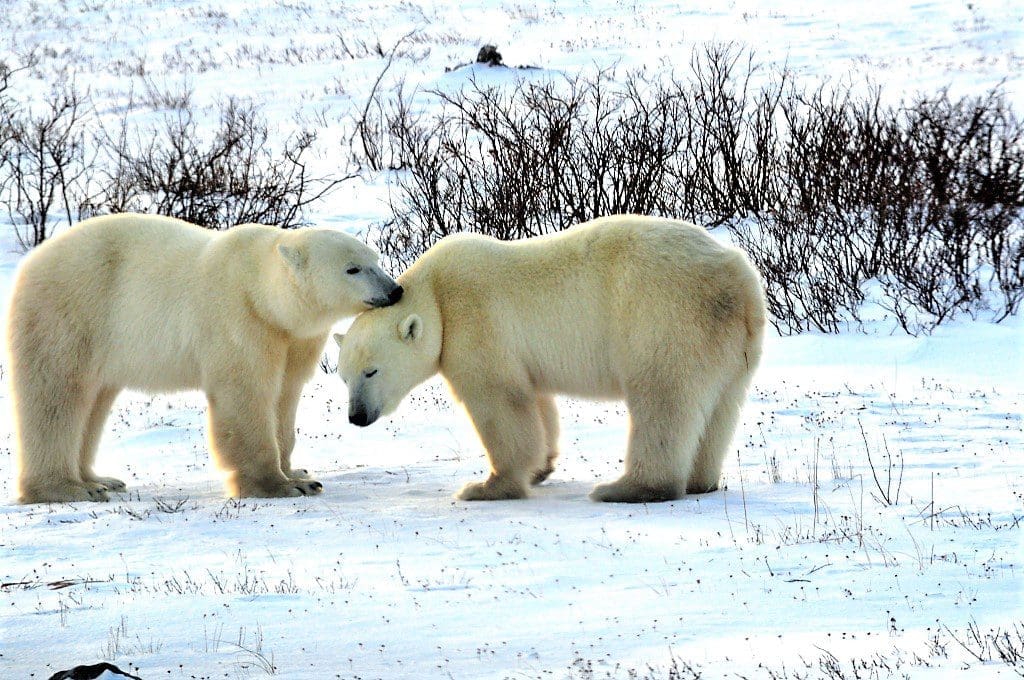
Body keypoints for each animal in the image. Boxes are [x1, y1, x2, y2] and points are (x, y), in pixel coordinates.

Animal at [8, 214, 401, 503]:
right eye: (352, 268)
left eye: (375, 260)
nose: (394, 290)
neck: (261, 291)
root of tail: (30, 261)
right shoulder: (239, 321)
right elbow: (245, 397)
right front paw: (280, 485)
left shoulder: (293, 338)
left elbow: (284, 395)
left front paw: (299, 473)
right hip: (70, 313)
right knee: (56, 397)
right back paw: (68, 488)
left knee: (94, 401)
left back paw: (99, 479)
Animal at [331, 215, 765, 501]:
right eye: (344, 377)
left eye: (371, 371)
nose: (357, 416)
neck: (436, 293)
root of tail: (739, 280)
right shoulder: (518, 353)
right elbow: (536, 402)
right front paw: (540, 467)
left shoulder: (475, 322)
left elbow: (499, 403)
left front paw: (485, 486)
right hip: (732, 344)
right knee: (720, 407)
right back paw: (700, 481)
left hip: (665, 316)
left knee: (662, 397)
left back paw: (626, 487)